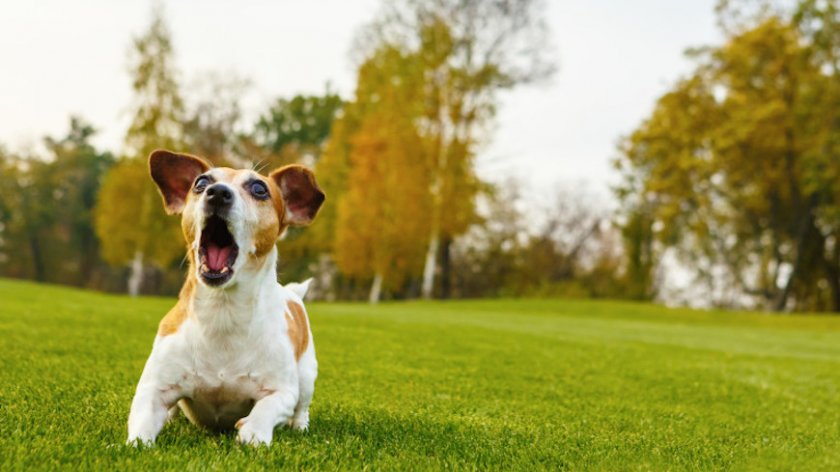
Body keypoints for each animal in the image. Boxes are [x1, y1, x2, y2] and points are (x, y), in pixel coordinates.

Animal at [127, 149, 324, 444]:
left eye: (259, 189)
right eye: (200, 183)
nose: (218, 193)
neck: (223, 310)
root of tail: (291, 293)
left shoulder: (282, 392)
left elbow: (266, 409)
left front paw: (253, 432)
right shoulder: (153, 388)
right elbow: (140, 429)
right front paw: (137, 444)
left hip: (306, 376)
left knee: (302, 407)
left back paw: (299, 426)